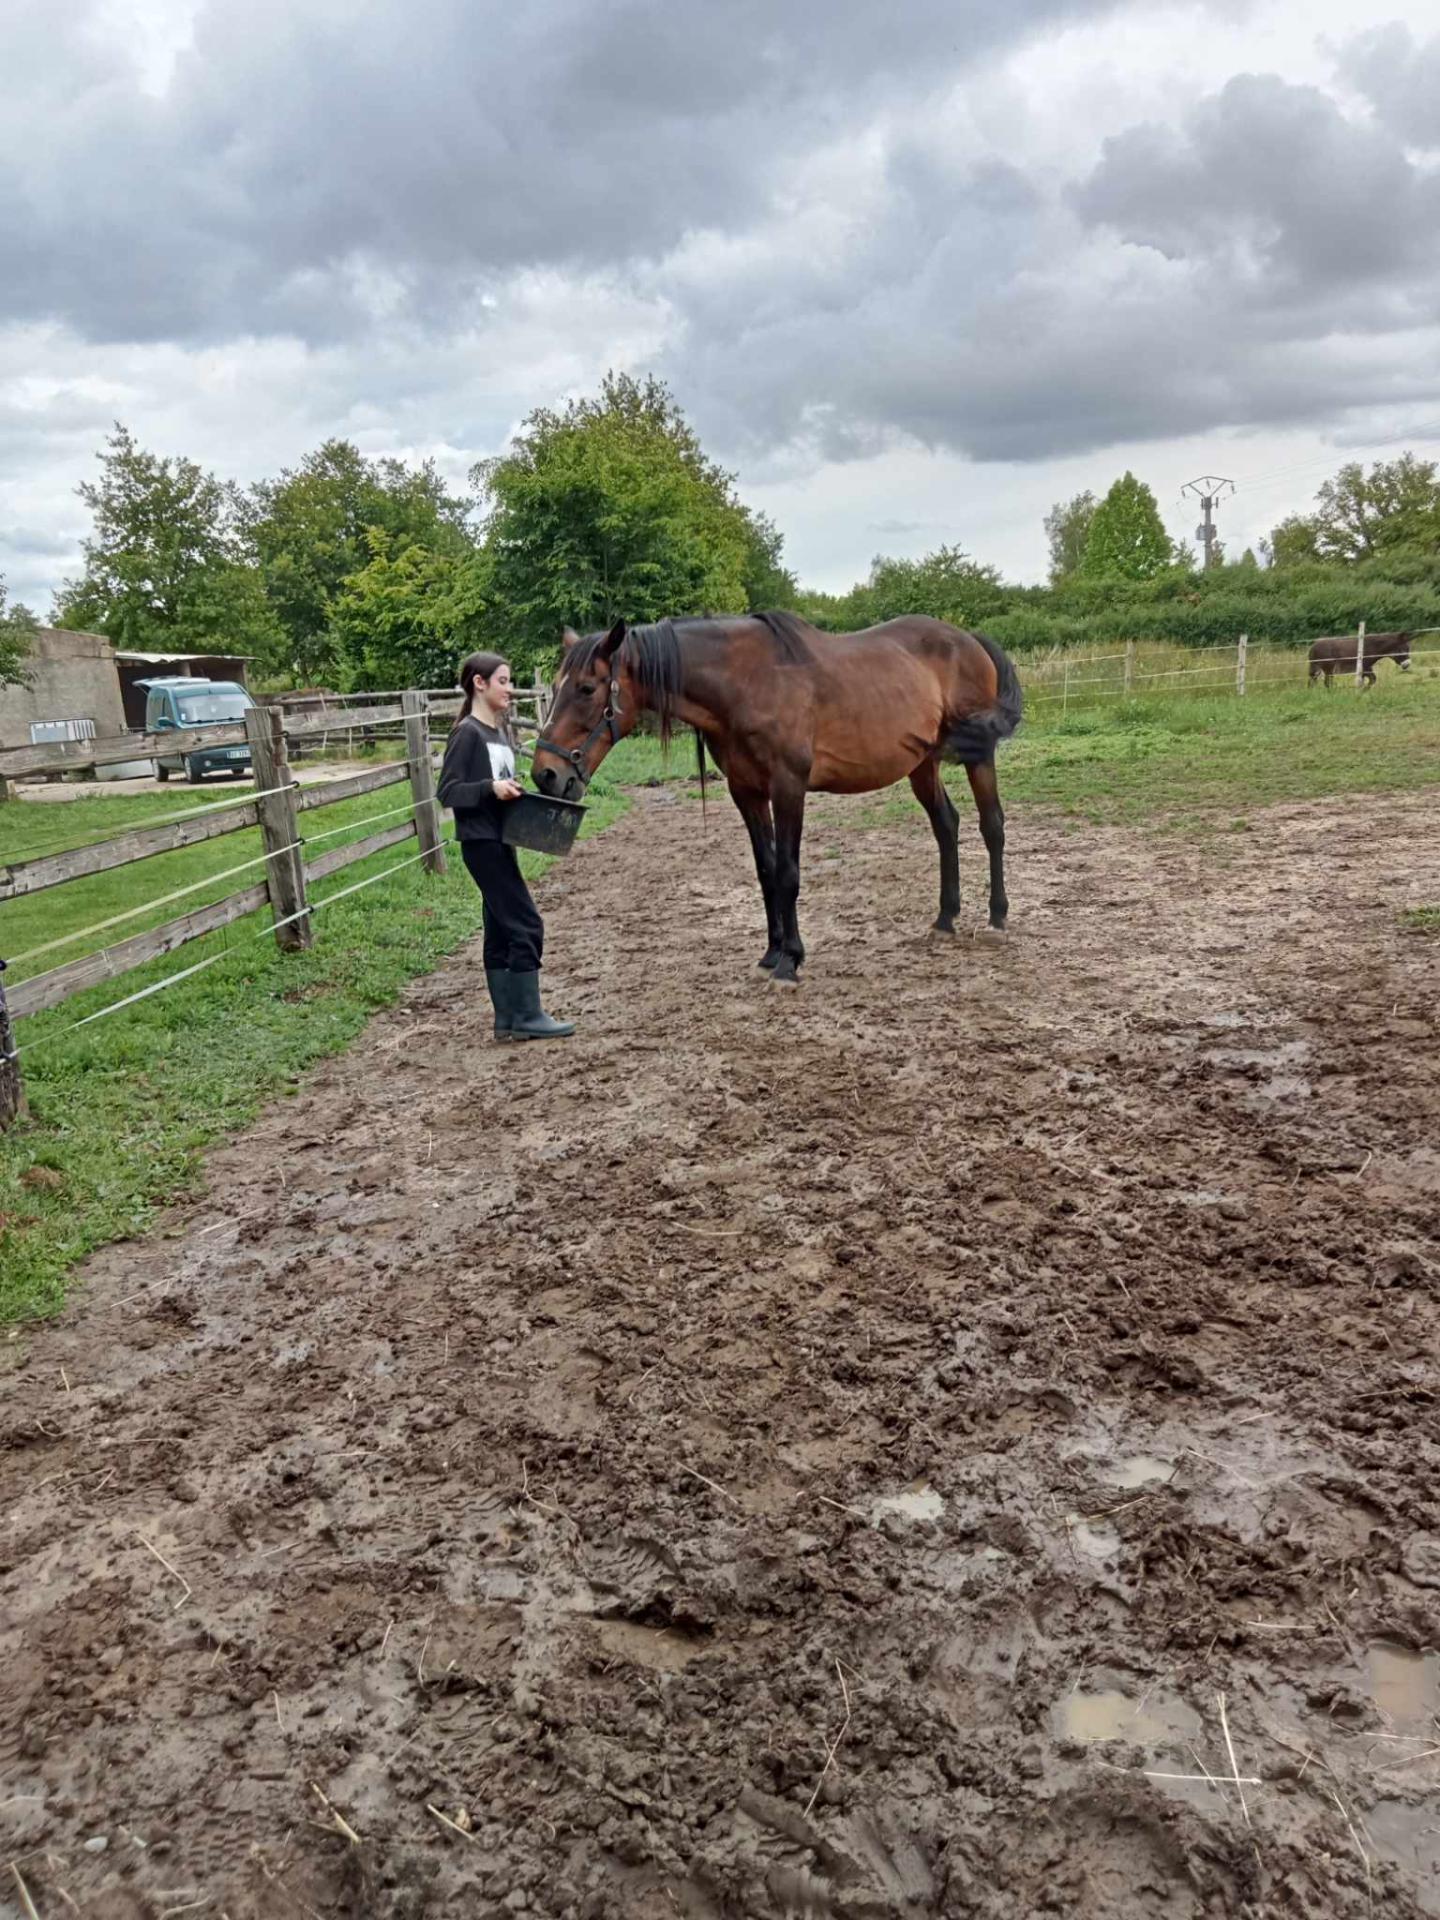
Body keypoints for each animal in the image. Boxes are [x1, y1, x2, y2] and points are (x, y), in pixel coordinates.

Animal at [533, 610, 1029, 983]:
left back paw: (996, 920)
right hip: (922, 764)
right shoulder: (747, 793)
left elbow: (788, 872)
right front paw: (772, 953)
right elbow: (766, 871)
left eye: (587, 688)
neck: (747, 683)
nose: (546, 774)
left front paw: (791, 960)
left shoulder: (788, 786)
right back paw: (945, 919)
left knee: (992, 826)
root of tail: (969, 640)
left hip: (978, 755)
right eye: (553, 688)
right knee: (946, 825)